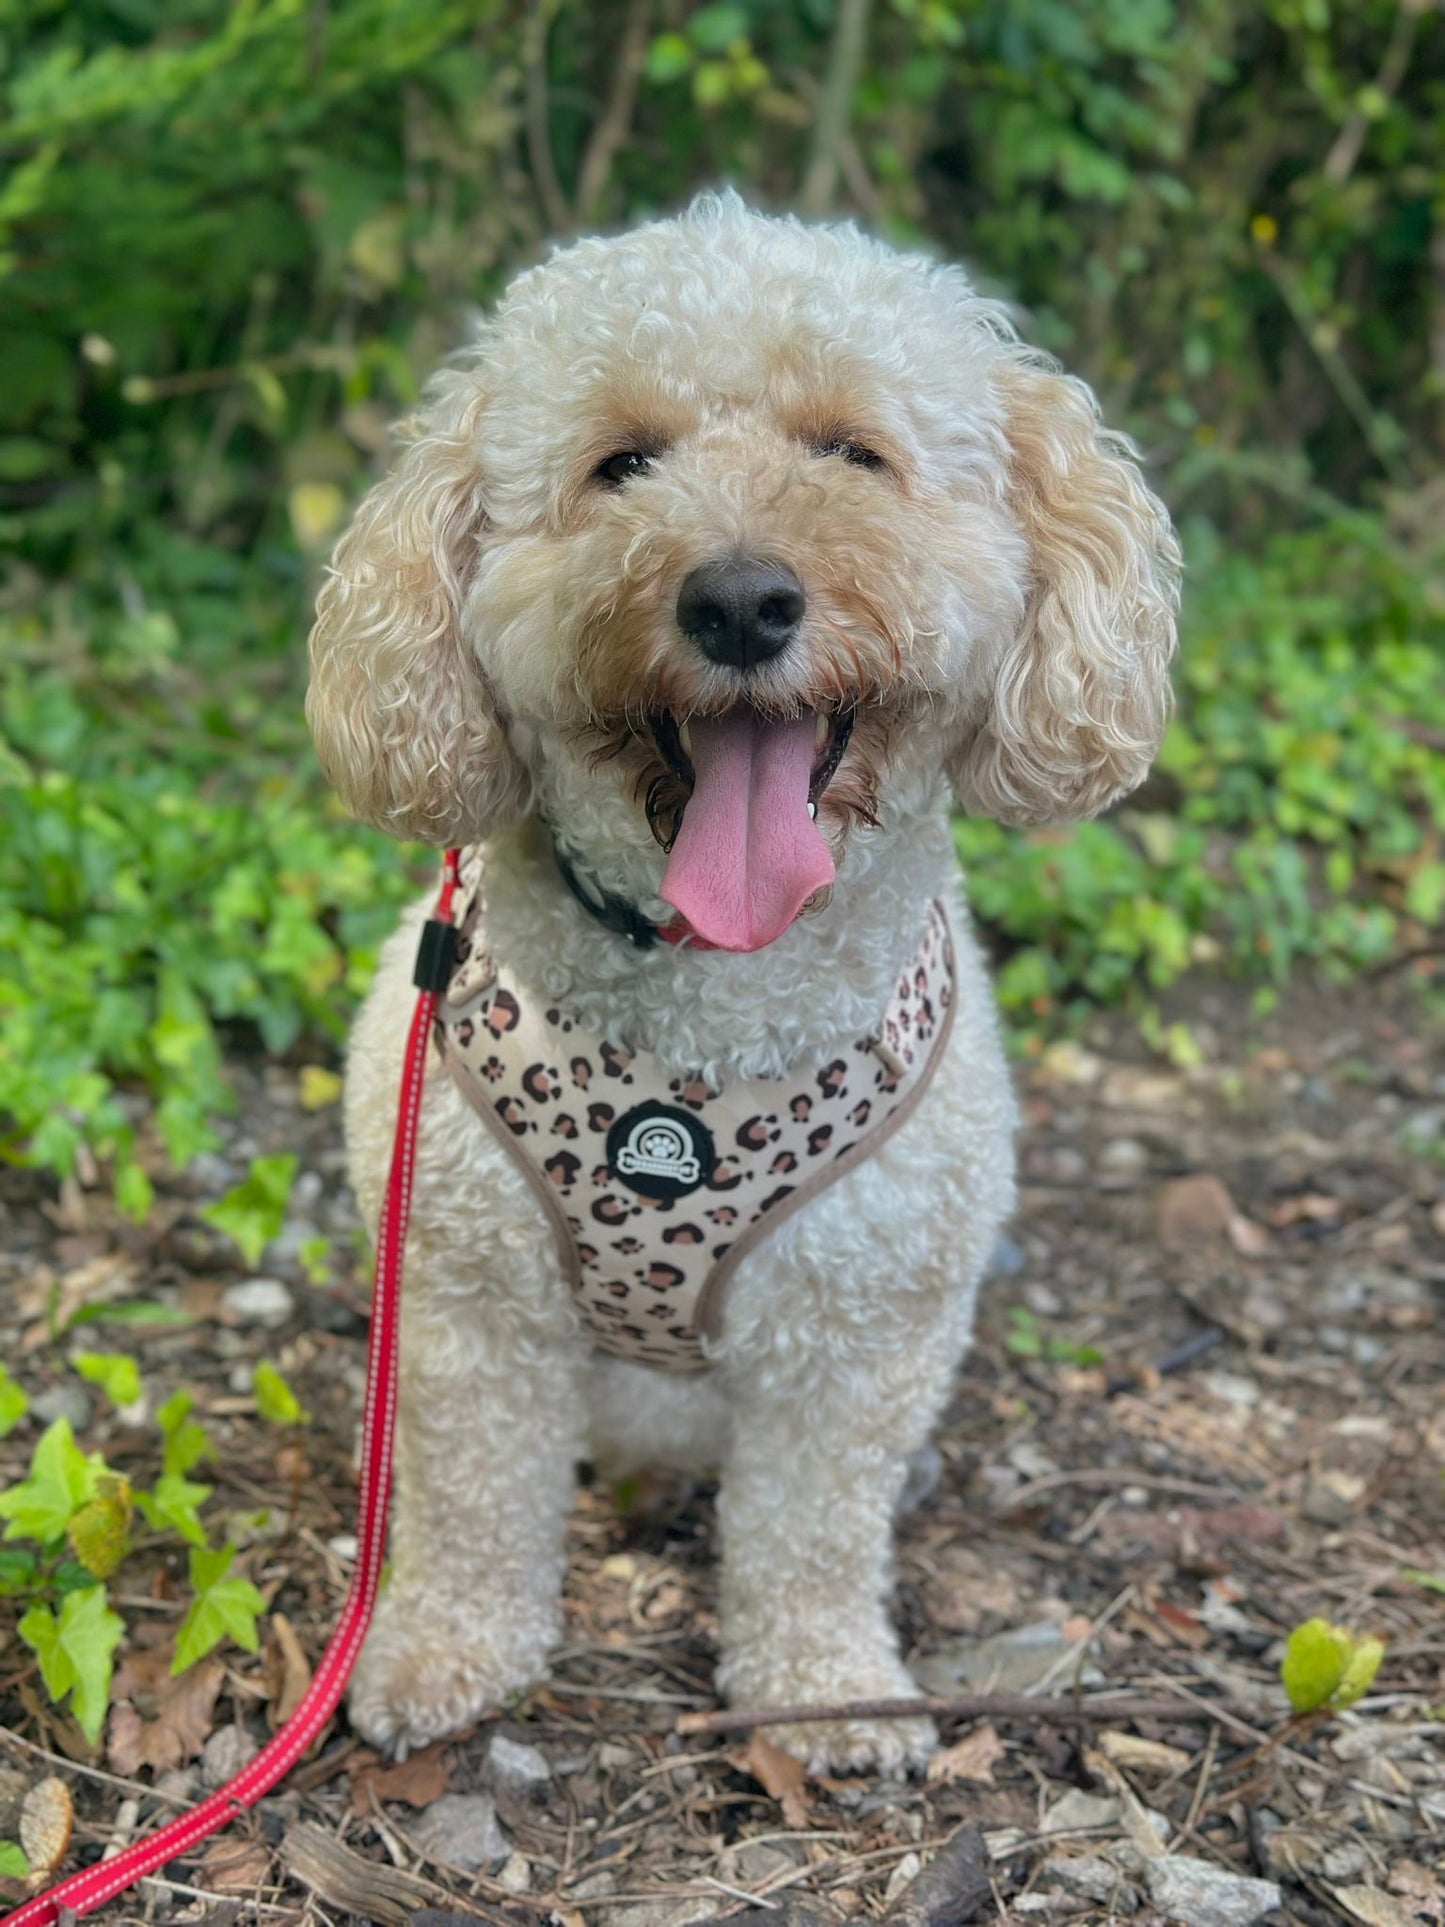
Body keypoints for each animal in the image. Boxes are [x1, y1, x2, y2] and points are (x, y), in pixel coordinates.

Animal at [306, 195, 1179, 1772]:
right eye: (621, 463)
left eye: (852, 452)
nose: (738, 598)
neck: (708, 1008)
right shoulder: (466, 1303)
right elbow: (469, 1502)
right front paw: (443, 1648)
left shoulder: (861, 1333)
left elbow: (813, 1532)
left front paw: (824, 1685)